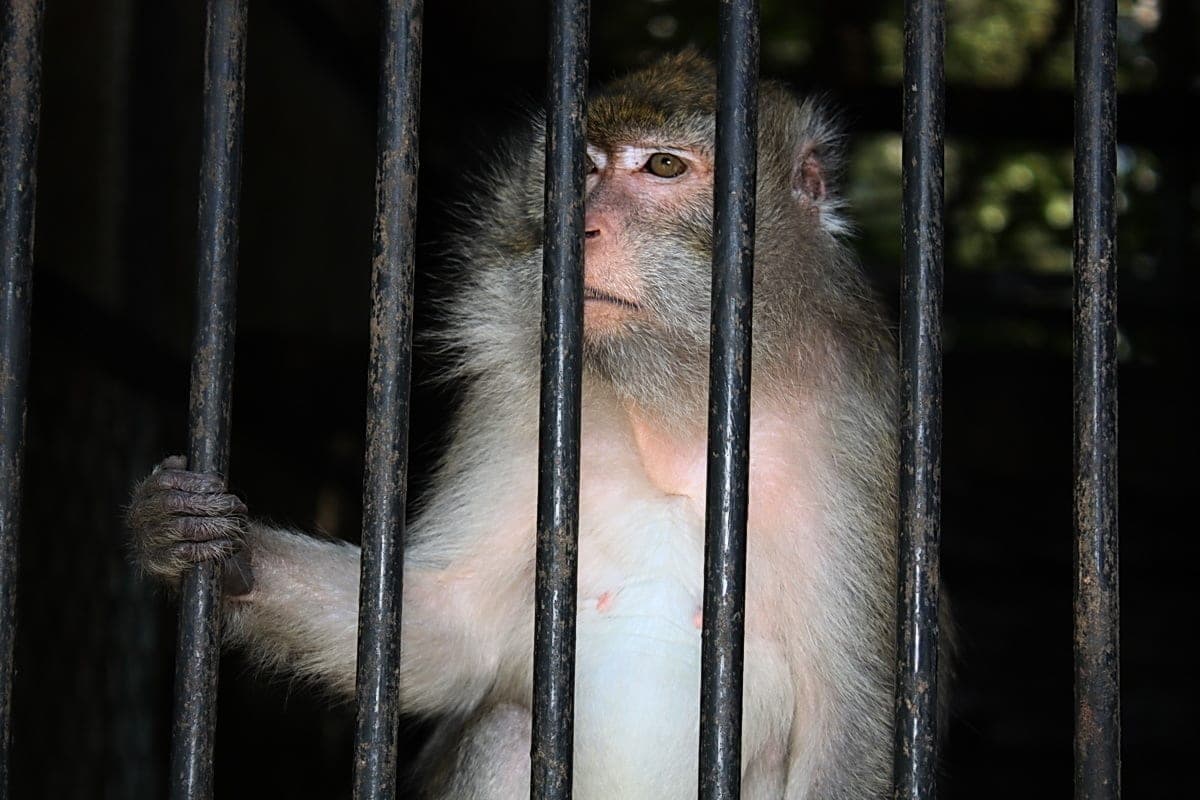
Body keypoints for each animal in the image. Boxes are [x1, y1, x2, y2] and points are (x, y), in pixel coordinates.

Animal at [128, 51, 900, 799]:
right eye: (581, 169)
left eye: (664, 166)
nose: (581, 229)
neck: (676, 413)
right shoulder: (518, 404)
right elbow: (446, 626)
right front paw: (207, 545)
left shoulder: (859, 435)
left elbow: (852, 732)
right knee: (504, 728)